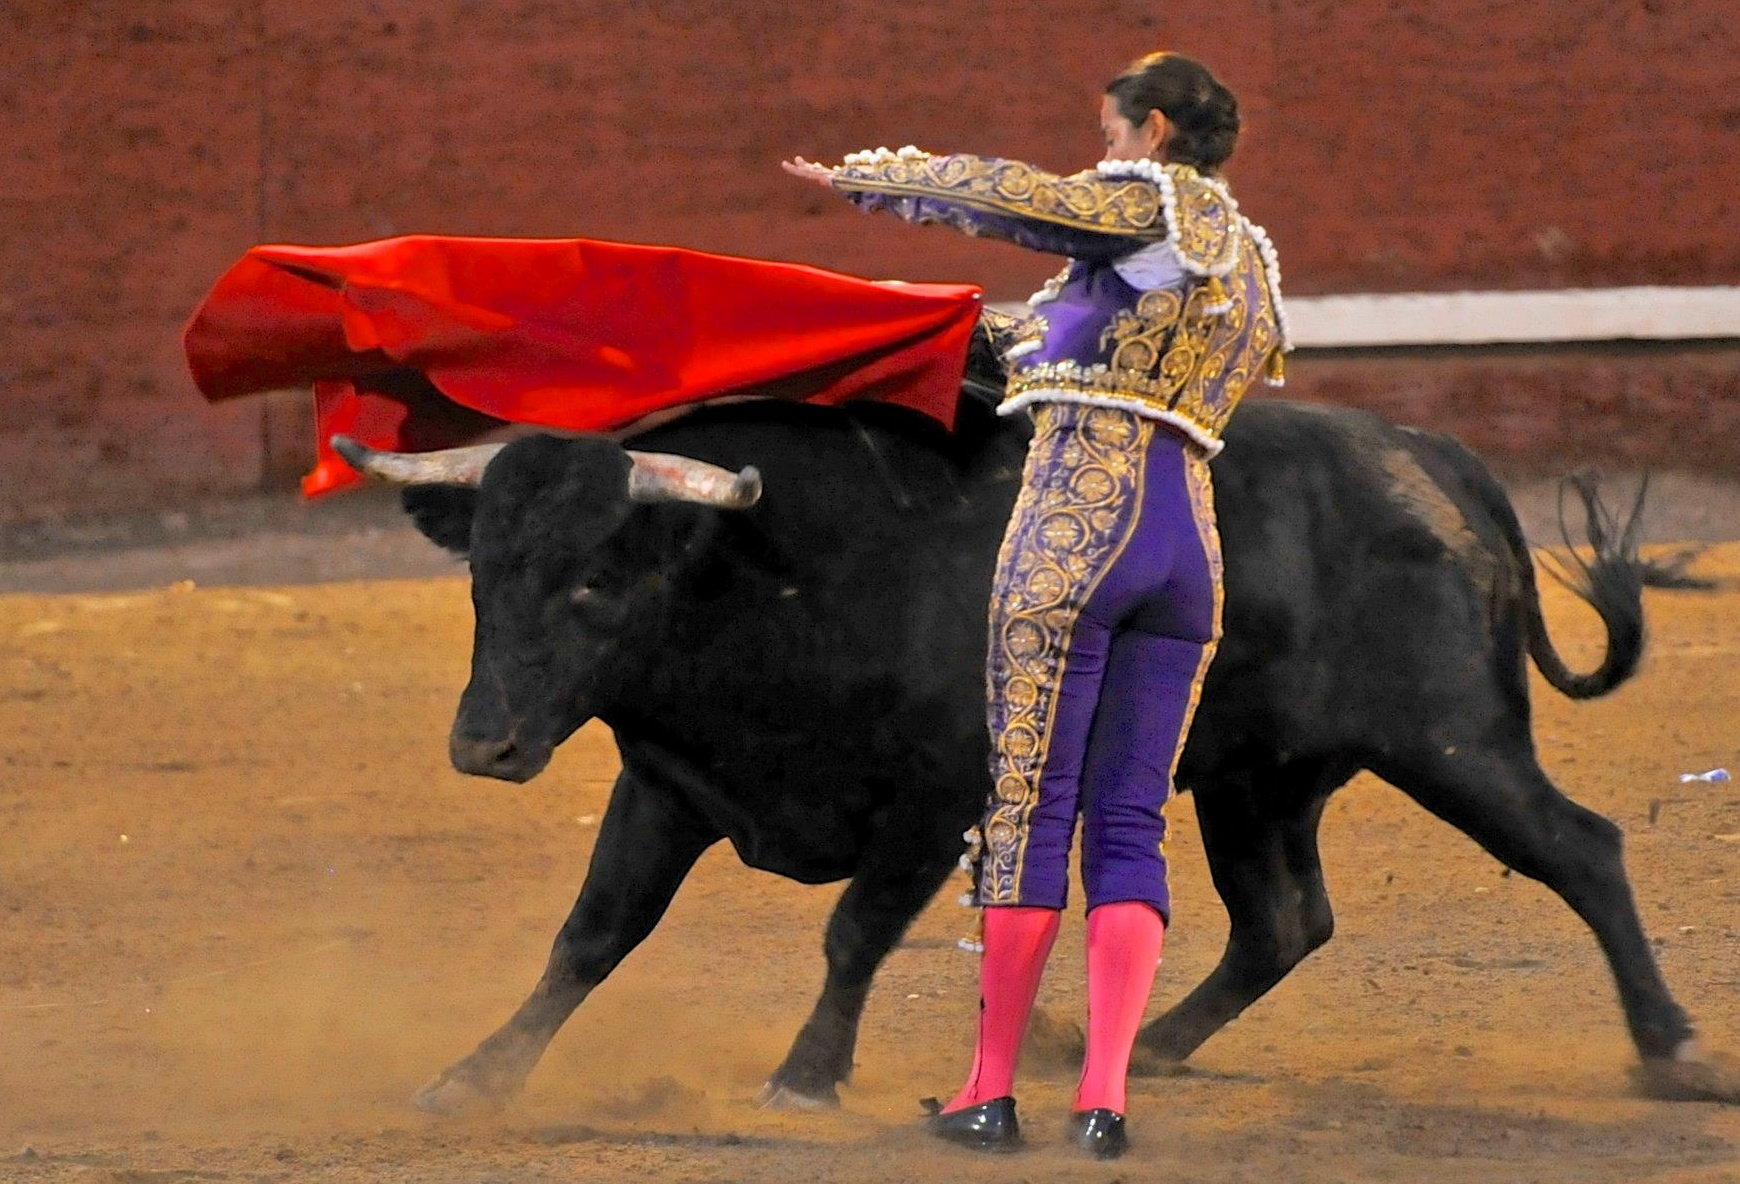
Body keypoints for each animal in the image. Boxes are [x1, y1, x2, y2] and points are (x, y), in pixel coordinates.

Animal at [331, 387, 1739, 1116]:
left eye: (595, 579)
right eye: (484, 576)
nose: (485, 742)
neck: (770, 570)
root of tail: (1433, 457)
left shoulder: (938, 795)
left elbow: (851, 932)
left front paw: (806, 1076)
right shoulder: (667, 784)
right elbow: (592, 934)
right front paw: (472, 1077)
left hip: (1452, 738)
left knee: (1582, 849)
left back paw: (1673, 1052)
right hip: (1256, 776)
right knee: (1284, 917)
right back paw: (1141, 1048)